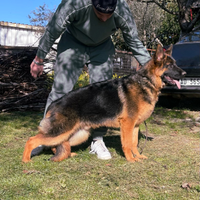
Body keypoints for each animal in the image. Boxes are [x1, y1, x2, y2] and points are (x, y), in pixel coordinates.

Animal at [22, 44, 186, 162]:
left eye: (175, 64)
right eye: (170, 66)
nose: (184, 73)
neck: (146, 81)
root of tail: (54, 104)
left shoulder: (135, 126)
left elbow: (134, 144)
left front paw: (138, 156)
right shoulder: (127, 125)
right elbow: (127, 144)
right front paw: (131, 159)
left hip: (77, 134)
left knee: (59, 145)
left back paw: (67, 155)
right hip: (60, 131)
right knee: (32, 140)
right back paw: (26, 161)